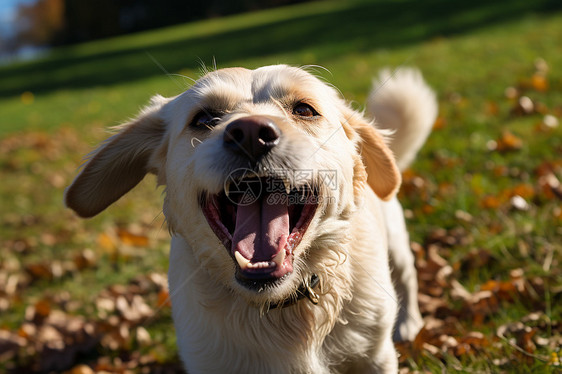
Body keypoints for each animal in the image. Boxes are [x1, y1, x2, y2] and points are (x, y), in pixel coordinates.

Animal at [64, 65, 434, 372]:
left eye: (304, 109)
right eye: (204, 118)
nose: (251, 132)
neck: (278, 306)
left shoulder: (376, 358)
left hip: (396, 243)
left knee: (408, 276)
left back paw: (409, 322)